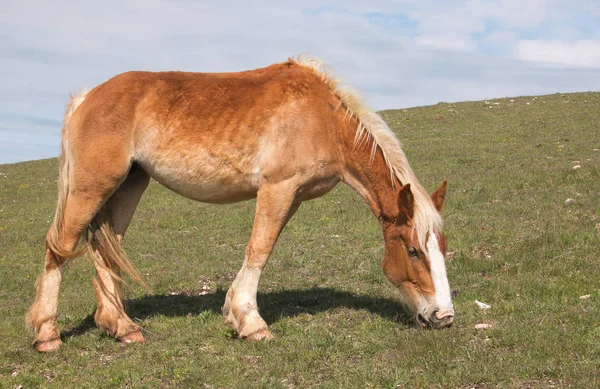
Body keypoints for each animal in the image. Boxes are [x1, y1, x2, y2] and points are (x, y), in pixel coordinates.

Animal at [25, 56, 452, 352]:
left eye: (442, 248)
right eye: (413, 250)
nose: (444, 316)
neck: (323, 118)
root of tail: (87, 98)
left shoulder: (292, 197)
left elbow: (263, 248)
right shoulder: (278, 189)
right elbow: (259, 249)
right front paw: (250, 322)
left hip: (127, 186)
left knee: (104, 250)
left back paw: (122, 327)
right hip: (91, 187)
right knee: (59, 248)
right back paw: (47, 335)